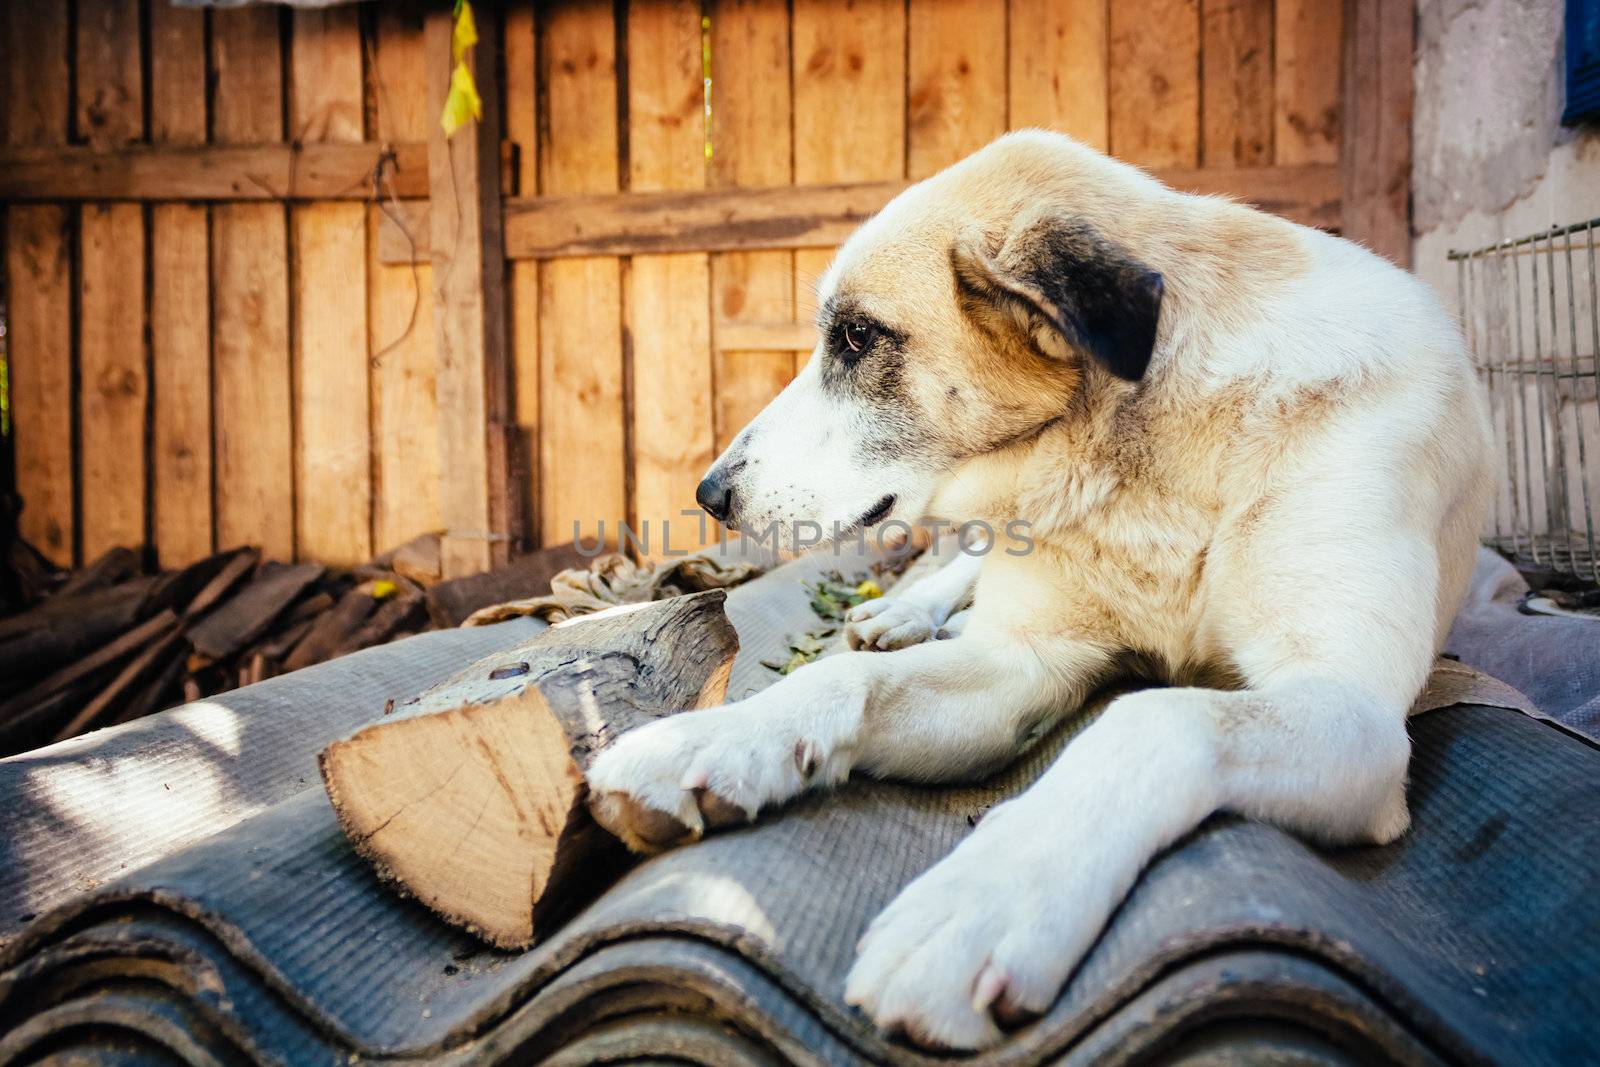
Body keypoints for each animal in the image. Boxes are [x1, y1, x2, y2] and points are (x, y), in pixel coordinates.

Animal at [585, 127, 1484, 1049]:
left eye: (859, 337)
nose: (709, 494)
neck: (1142, 454)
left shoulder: (1355, 716)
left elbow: (1156, 717)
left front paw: (982, 900)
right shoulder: (1023, 661)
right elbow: (846, 677)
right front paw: (708, 741)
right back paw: (903, 612)